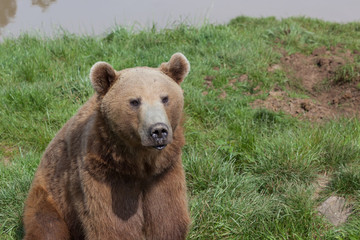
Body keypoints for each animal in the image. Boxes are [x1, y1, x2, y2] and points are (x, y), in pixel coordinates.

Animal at [22, 53, 191, 240]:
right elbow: (113, 225)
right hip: (50, 196)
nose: (159, 130)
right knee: (47, 226)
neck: (138, 163)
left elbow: (166, 219)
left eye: (165, 98)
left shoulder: (164, 172)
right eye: (134, 101)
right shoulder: (104, 173)